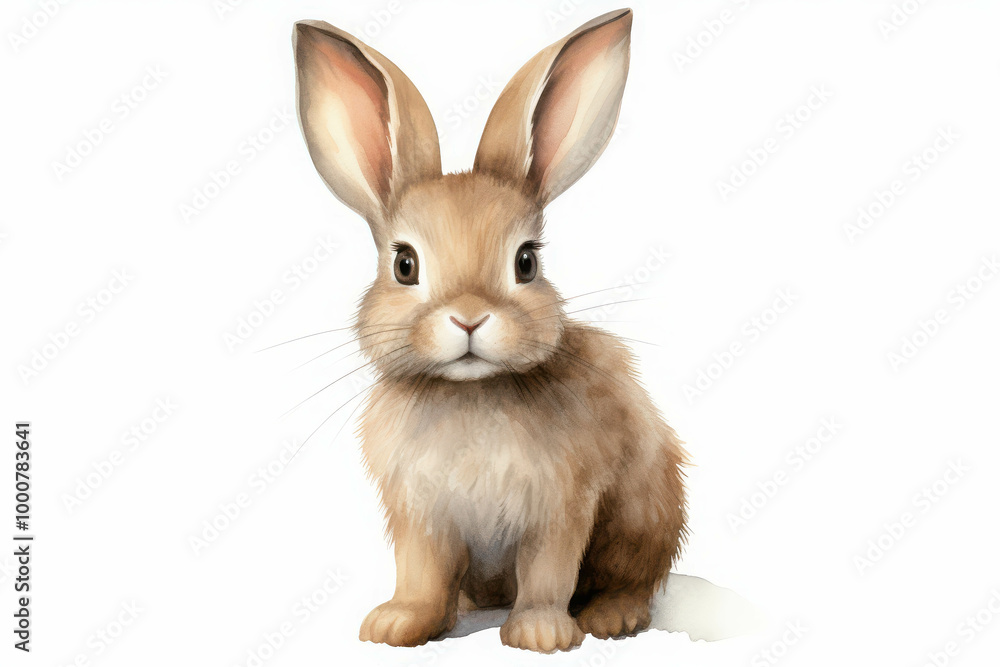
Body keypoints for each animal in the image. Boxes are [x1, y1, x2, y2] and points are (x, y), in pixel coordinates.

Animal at [293, 8, 687, 653]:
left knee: (631, 576)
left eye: (526, 262)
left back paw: (612, 616)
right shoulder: (420, 515)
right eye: (405, 264)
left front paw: (541, 634)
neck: (470, 393)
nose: (470, 317)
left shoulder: (561, 507)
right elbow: (421, 574)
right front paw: (396, 624)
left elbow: (549, 572)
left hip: (642, 514)